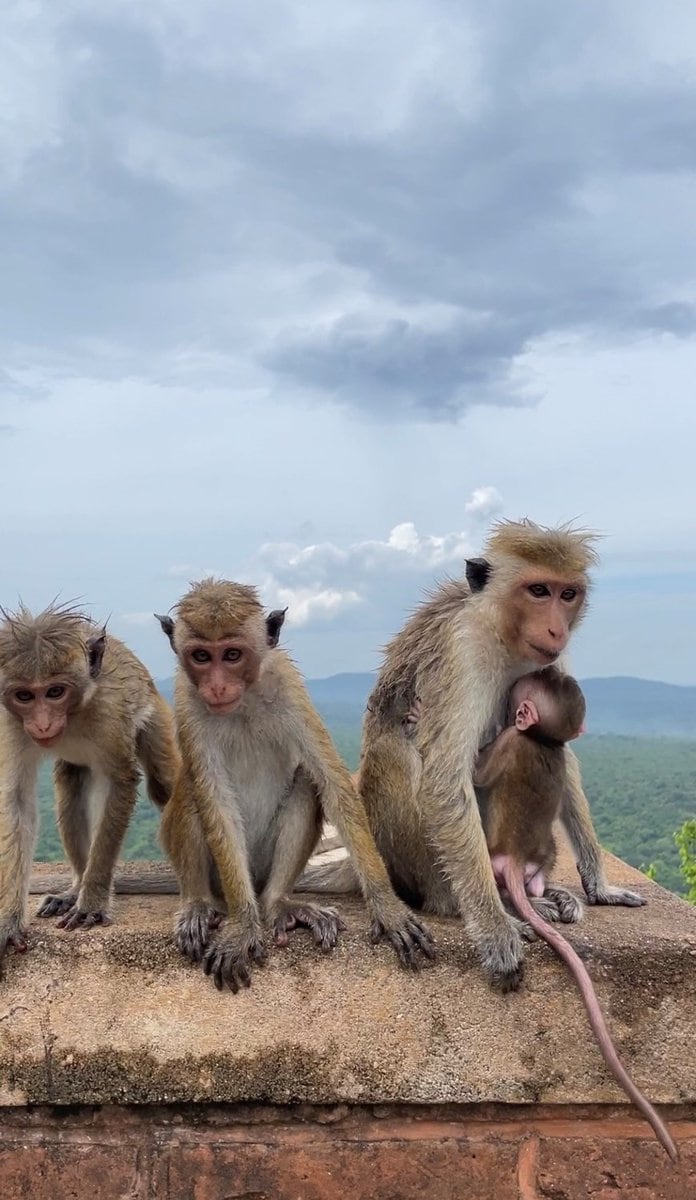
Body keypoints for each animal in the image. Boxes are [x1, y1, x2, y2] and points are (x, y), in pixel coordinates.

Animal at [0, 604, 180, 969]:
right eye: (24, 695)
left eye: (55, 691)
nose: (42, 725)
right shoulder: (10, 721)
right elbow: (16, 801)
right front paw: (8, 921)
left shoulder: (107, 713)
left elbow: (122, 782)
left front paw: (93, 903)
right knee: (70, 785)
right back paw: (73, 890)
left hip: (157, 715)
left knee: (163, 783)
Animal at [156, 580, 434, 993]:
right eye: (201, 656)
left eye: (232, 654)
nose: (218, 687)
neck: (244, 700)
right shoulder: (187, 698)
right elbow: (217, 805)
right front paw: (242, 927)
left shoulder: (286, 684)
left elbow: (332, 782)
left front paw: (388, 908)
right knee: (194, 789)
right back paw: (200, 905)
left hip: (263, 865)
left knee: (306, 780)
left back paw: (279, 905)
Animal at [298, 518, 648, 993]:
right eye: (538, 590)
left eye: (567, 594)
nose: (556, 629)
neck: (501, 631)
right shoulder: (462, 652)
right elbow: (446, 778)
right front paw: (496, 929)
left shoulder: (551, 664)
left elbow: (562, 755)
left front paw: (601, 887)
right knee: (402, 752)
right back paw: (462, 901)